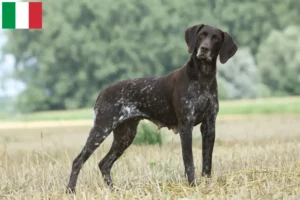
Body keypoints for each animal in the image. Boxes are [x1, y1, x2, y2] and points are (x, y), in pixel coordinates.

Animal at [65, 23, 237, 192]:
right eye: (202, 35)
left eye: (215, 38)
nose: (204, 49)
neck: (203, 78)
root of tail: (103, 91)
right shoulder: (186, 125)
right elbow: (189, 161)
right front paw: (192, 186)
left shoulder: (209, 126)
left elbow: (207, 162)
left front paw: (207, 186)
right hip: (101, 129)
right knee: (78, 161)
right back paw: (70, 190)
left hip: (125, 135)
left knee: (104, 164)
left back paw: (114, 191)